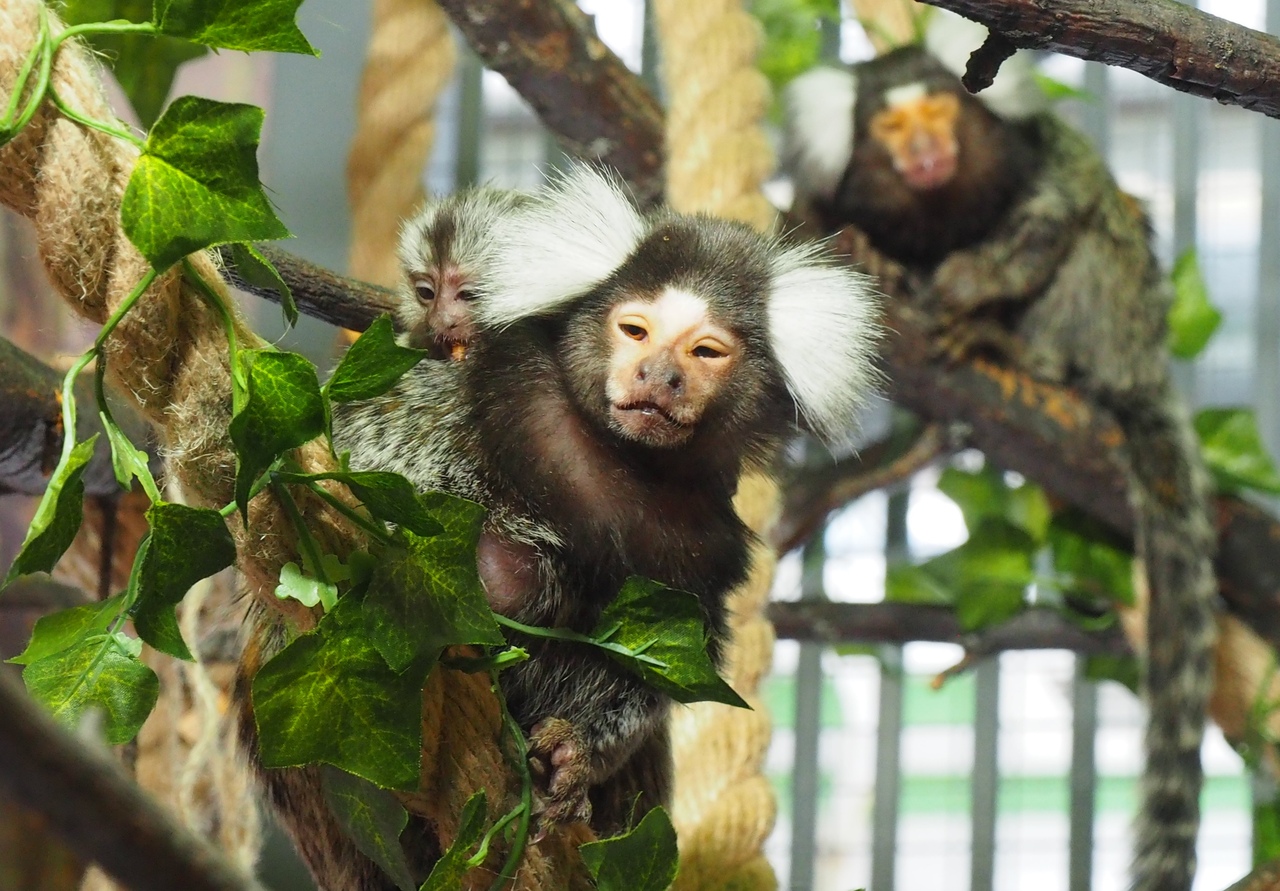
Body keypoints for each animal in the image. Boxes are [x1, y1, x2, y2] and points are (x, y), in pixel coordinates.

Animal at [783, 45, 1213, 891]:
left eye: (940, 112)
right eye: (890, 128)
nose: (926, 150)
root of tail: (1143, 365)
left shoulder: (1042, 159)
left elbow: (1062, 210)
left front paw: (971, 287)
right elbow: (811, 224)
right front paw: (870, 250)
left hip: (1117, 326)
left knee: (1102, 236)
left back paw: (1013, 348)